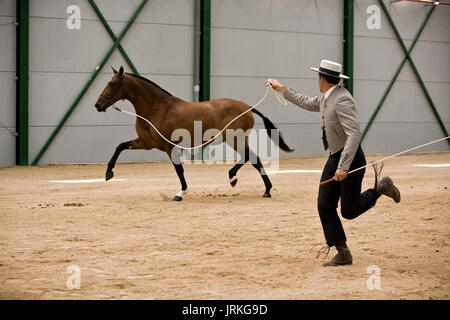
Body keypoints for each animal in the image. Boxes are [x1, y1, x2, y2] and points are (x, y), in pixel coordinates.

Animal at [95, 66, 294, 201]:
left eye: (111, 83)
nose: (98, 105)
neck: (157, 108)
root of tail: (248, 108)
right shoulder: (146, 143)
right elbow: (120, 146)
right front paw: (108, 173)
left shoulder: (169, 147)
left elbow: (179, 170)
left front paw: (180, 193)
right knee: (252, 159)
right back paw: (258, 187)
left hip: (234, 139)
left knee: (251, 158)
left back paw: (242, 181)